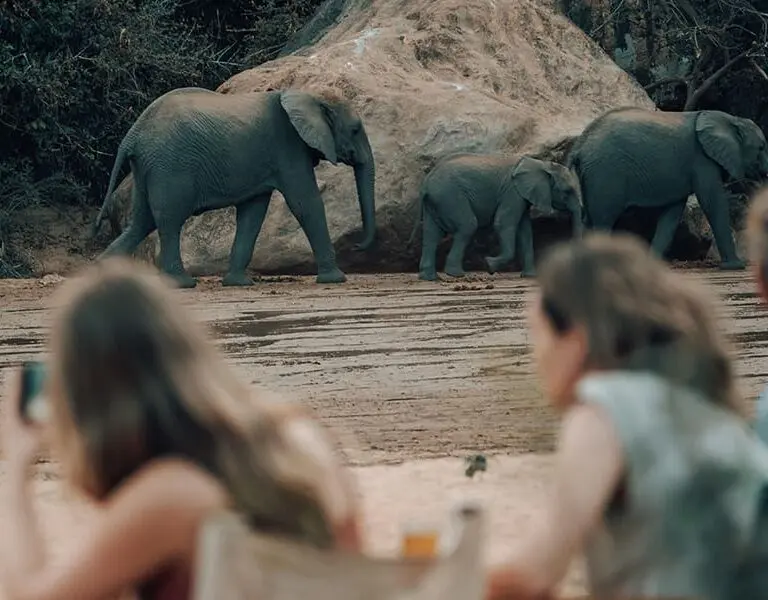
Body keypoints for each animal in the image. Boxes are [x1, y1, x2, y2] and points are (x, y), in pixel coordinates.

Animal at [91, 86, 376, 288]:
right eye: (355, 129)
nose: (357, 246)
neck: (310, 94)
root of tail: (132, 135)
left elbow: (253, 212)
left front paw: (238, 283)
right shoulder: (288, 149)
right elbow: (305, 203)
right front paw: (336, 279)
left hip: (148, 167)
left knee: (141, 221)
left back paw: (102, 274)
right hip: (169, 166)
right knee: (169, 220)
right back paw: (182, 284)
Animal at [415, 153, 583, 281]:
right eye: (567, 191)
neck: (542, 165)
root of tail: (426, 184)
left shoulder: (521, 196)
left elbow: (525, 232)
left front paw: (529, 277)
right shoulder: (512, 193)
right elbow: (503, 224)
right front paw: (489, 265)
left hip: (436, 201)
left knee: (431, 234)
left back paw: (430, 278)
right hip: (449, 197)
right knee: (467, 226)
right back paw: (456, 274)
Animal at [567, 107, 768, 269]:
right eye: (761, 148)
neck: (731, 119)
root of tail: (579, 147)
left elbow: (673, 212)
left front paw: (651, 265)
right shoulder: (702, 160)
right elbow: (712, 202)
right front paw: (735, 266)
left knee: (588, 218)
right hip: (605, 174)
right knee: (603, 219)